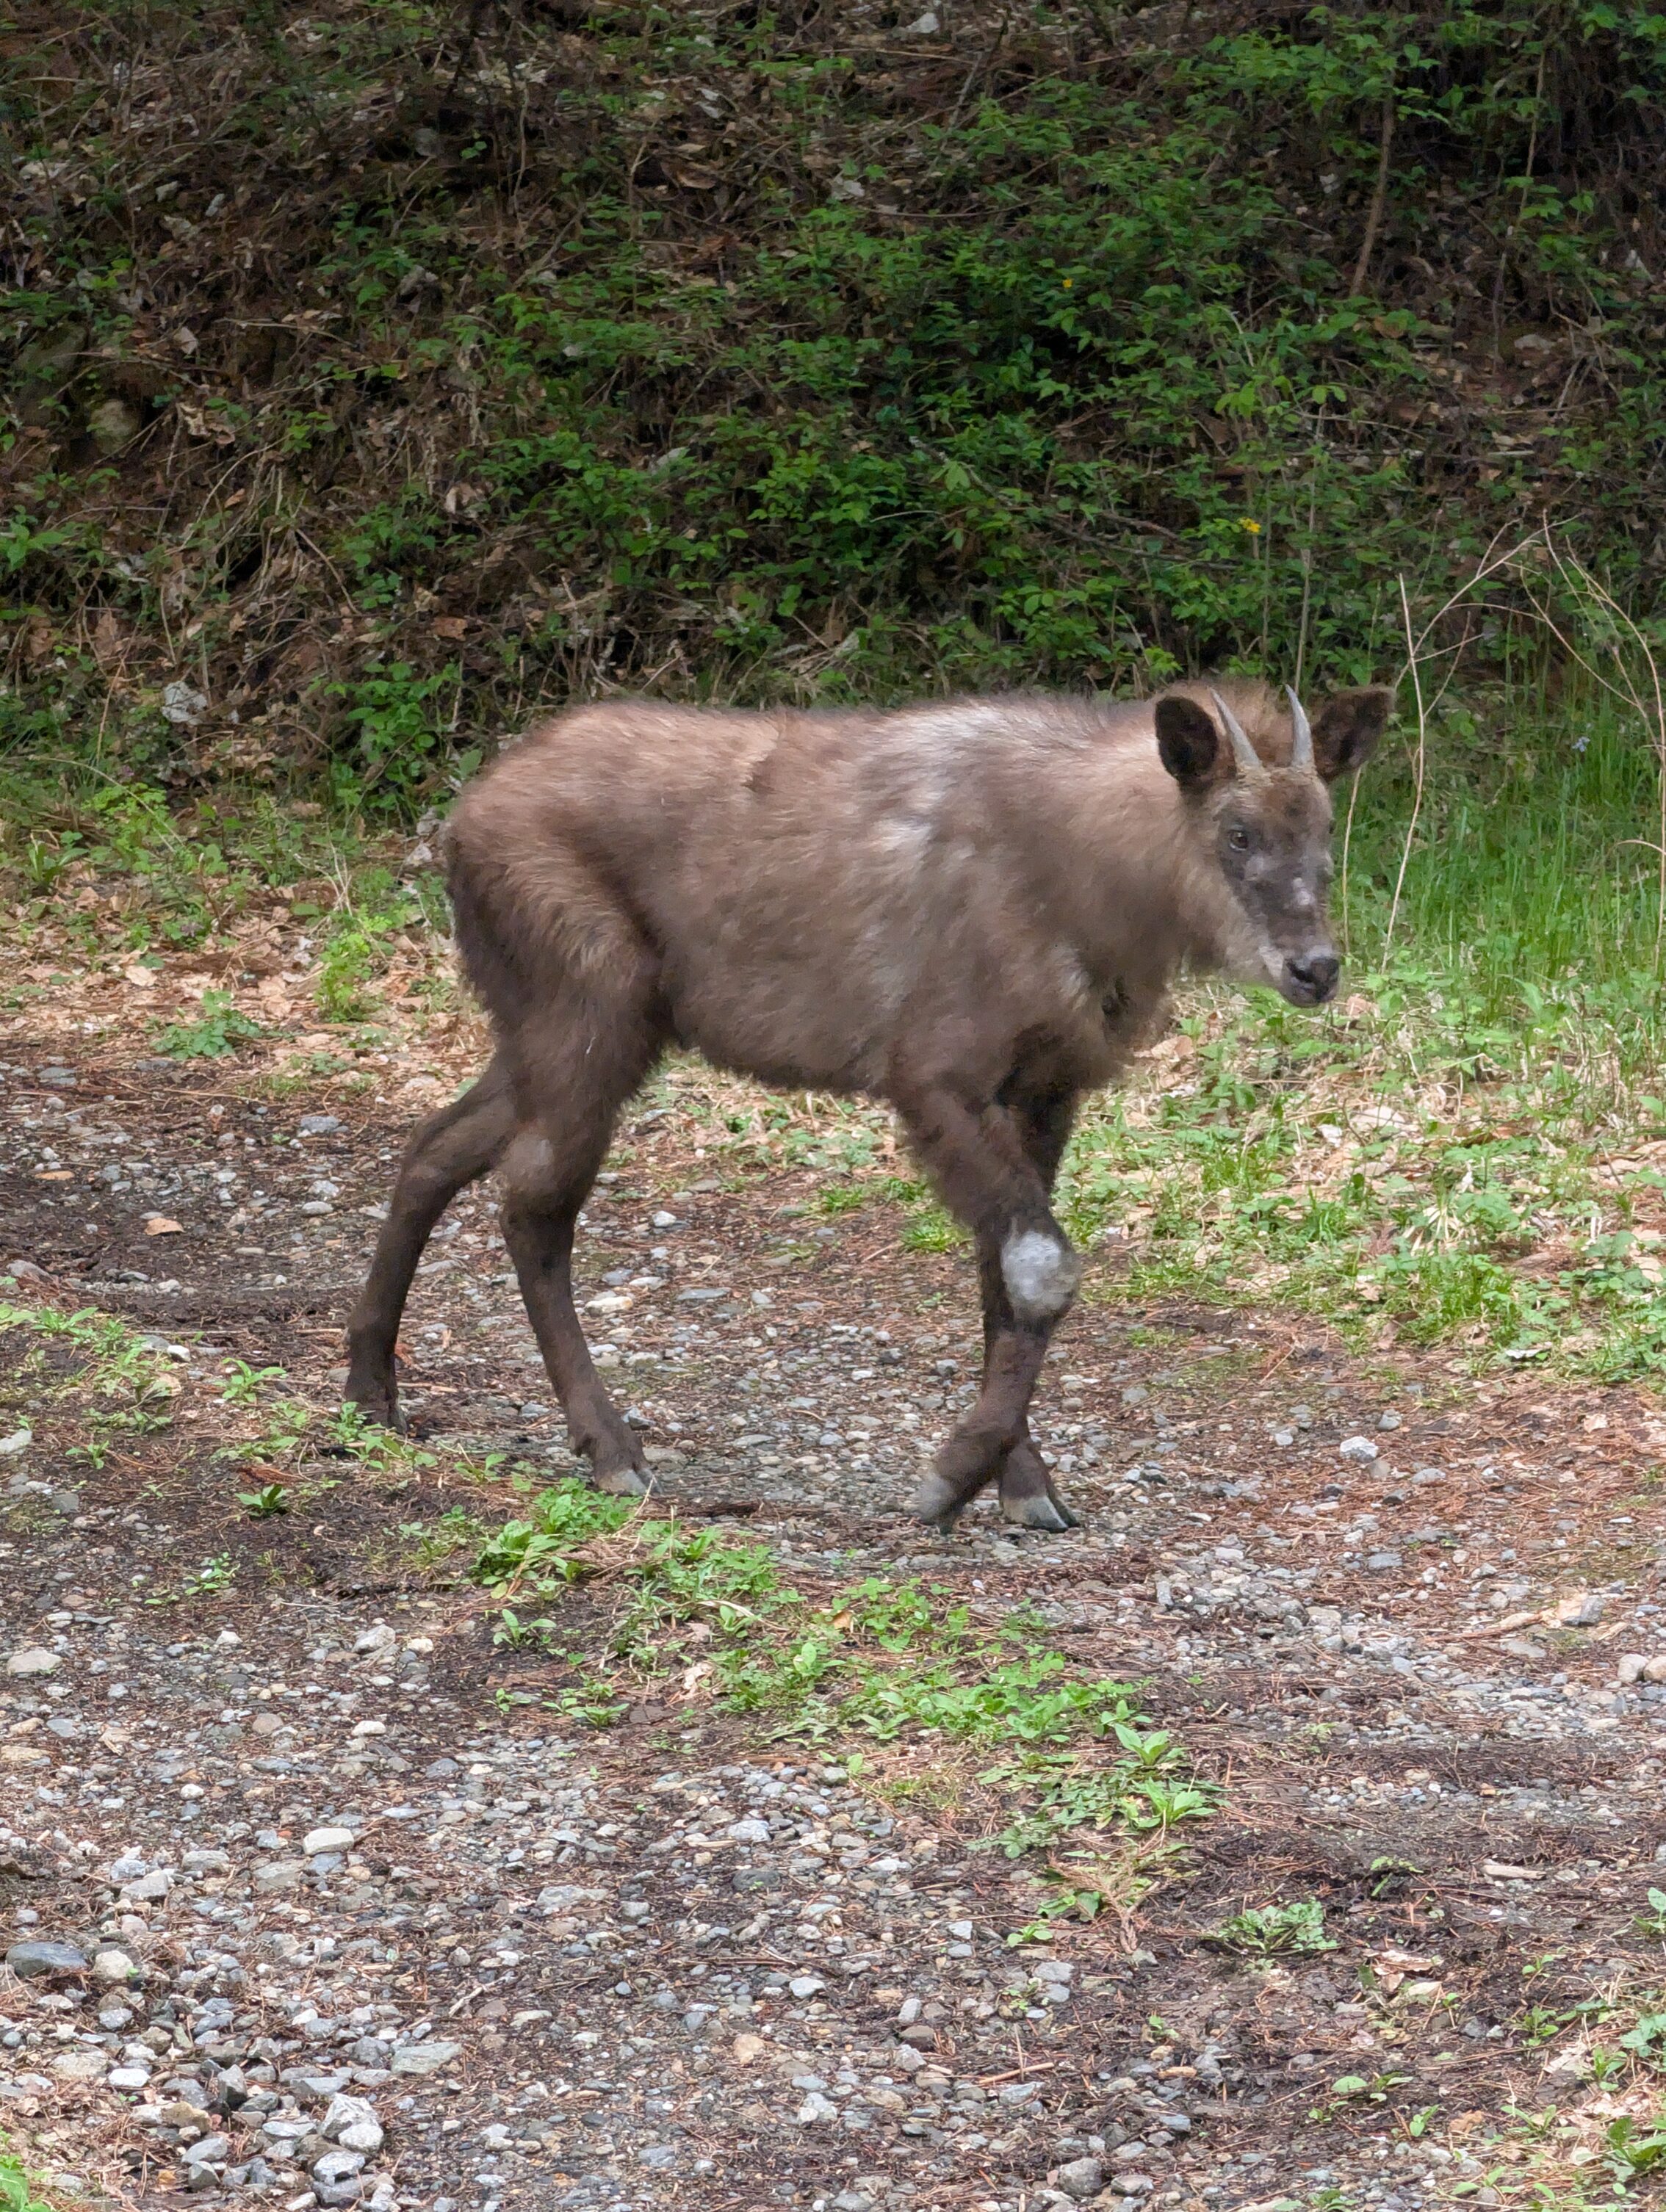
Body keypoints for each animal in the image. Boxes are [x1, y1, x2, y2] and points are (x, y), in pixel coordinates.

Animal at [344, 677, 1390, 1533]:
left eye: (1324, 830)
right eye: (1238, 834)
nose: (1316, 968)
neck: (1099, 895)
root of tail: (458, 825)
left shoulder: (1046, 1089)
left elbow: (1002, 1278)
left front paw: (1023, 1486)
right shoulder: (932, 1072)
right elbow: (1044, 1268)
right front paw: (953, 1478)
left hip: (549, 1033)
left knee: (434, 1147)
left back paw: (370, 1392)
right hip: (590, 1015)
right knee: (534, 1206)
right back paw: (610, 1451)